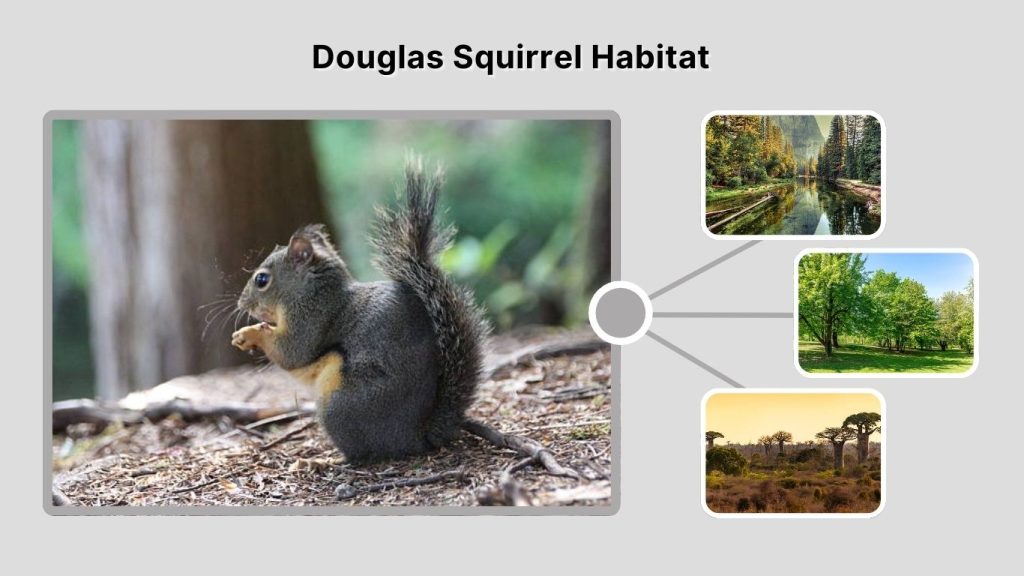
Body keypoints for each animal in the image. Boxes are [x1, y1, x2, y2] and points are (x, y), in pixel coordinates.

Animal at [230, 159, 489, 462]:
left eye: (261, 280)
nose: (241, 304)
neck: (314, 292)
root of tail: (415, 437)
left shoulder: (311, 318)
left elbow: (292, 352)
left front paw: (251, 333)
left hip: (340, 405)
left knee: (362, 451)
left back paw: (333, 459)